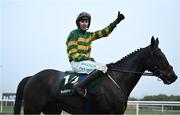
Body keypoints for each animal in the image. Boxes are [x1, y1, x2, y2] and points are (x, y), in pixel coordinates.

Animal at [13, 37, 177, 114]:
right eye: (159, 56)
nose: (173, 76)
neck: (118, 80)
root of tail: (31, 77)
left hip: (53, 109)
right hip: (32, 109)